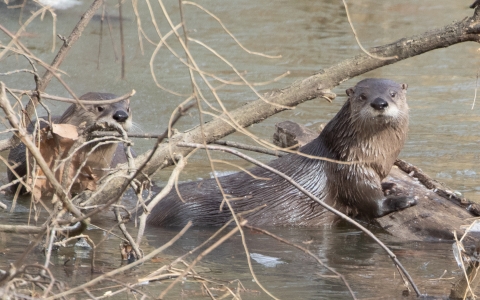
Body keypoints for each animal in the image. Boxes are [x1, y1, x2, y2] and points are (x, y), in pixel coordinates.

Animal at [146, 78, 416, 226]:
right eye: (362, 96)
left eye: (393, 93)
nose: (379, 103)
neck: (371, 156)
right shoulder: (350, 170)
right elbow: (371, 203)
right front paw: (403, 200)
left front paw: (390, 185)